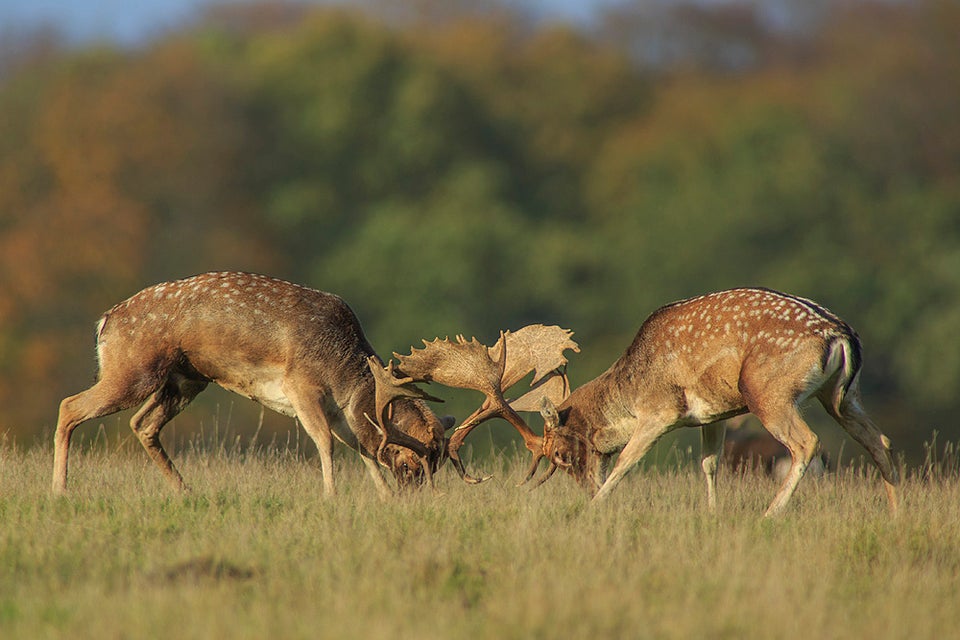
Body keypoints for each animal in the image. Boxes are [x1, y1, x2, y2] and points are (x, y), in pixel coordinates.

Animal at [51, 272, 454, 498]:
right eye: (410, 465)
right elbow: (325, 442)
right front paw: (331, 497)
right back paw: (60, 490)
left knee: (142, 424)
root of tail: (105, 322)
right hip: (133, 370)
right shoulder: (300, 385)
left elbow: (363, 450)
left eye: (437, 467)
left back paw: (186, 491)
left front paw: (383, 498)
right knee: (69, 406)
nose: (415, 499)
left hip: (185, 380)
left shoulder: (341, 412)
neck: (343, 373)